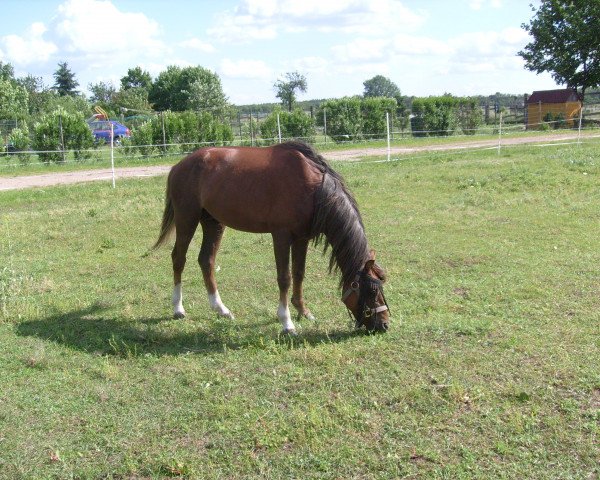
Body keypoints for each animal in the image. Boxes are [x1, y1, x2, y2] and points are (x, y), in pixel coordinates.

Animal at [154, 141, 390, 332]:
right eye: (371, 291)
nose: (384, 324)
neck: (312, 188)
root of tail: (179, 165)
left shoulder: (302, 238)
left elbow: (299, 273)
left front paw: (303, 311)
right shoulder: (281, 236)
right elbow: (284, 278)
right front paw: (286, 322)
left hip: (213, 223)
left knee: (206, 260)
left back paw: (221, 309)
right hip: (187, 218)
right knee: (179, 259)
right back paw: (178, 308)